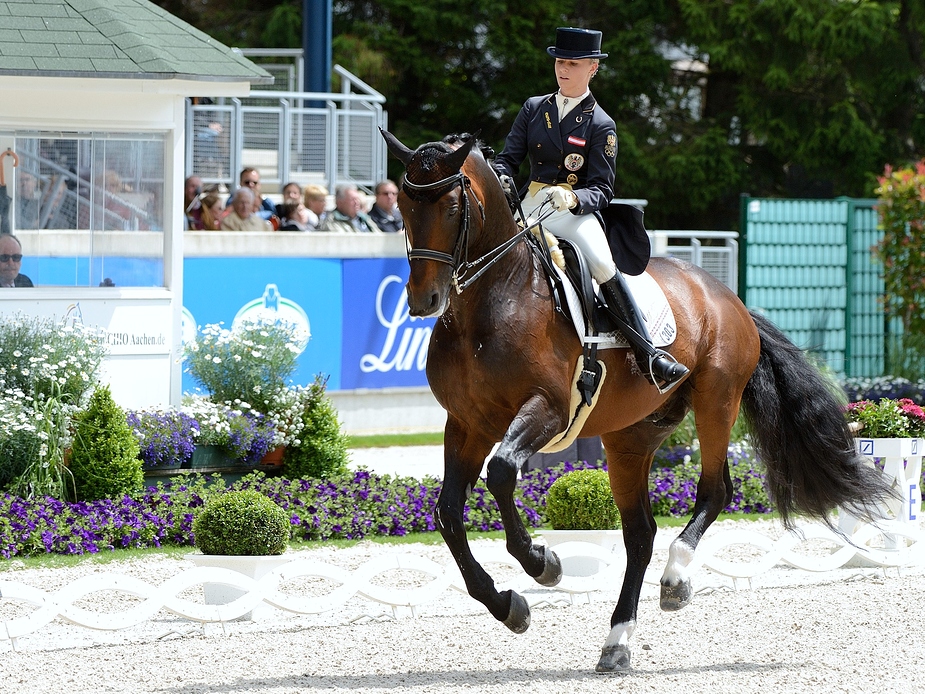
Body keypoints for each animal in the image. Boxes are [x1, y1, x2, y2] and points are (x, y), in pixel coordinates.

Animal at [380, 130, 888, 676]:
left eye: (453, 207)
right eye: (404, 205)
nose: (424, 301)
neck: (493, 301)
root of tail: (726, 295)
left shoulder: (547, 411)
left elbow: (500, 475)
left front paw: (543, 564)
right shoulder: (466, 423)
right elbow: (449, 515)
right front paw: (508, 606)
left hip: (715, 402)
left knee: (715, 492)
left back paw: (676, 580)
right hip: (631, 436)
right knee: (640, 534)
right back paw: (617, 641)